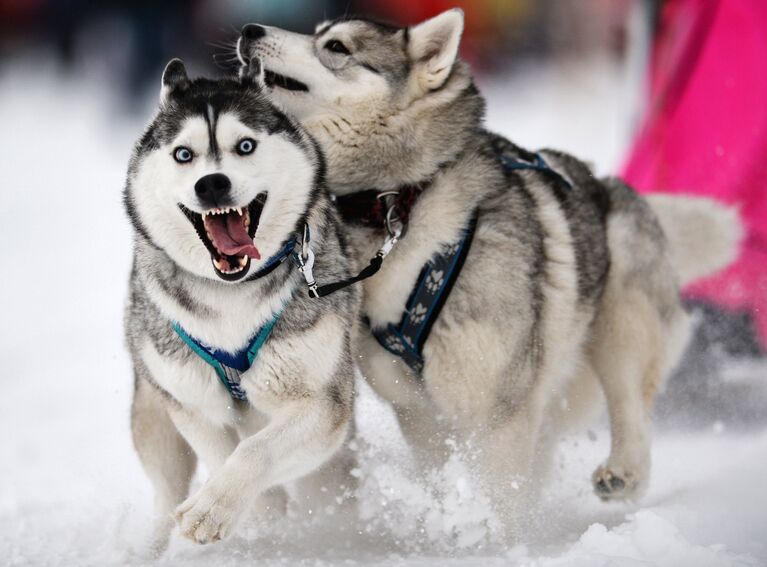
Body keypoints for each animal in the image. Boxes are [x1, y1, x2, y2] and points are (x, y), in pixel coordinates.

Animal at [124, 58, 362, 552]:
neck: (229, 294)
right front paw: (256, 517)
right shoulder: (192, 406)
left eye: (246, 146)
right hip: (155, 416)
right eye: (183, 154)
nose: (212, 184)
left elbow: (256, 450)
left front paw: (214, 509)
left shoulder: (321, 404)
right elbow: (224, 455)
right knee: (165, 490)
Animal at [236, 7, 744, 532]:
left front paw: (495, 542)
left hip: (621, 320)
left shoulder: (500, 408)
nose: (249, 30)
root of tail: (612, 186)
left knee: (630, 405)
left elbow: (500, 497)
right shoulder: (418, 412)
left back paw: (625, 471)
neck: (397, 203)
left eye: (336, 47)